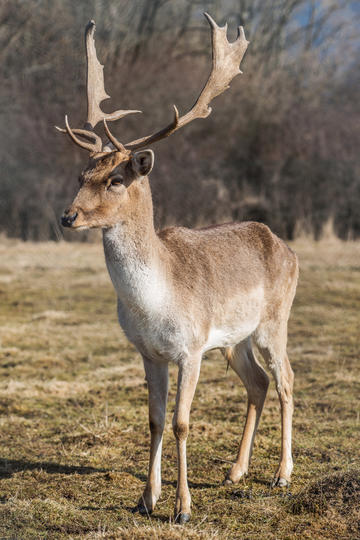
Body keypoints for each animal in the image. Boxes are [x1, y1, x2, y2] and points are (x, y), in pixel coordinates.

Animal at [56, 15, 298, 524]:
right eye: (81, 175)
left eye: (116, 178)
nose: (67, 217)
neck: (156, 302)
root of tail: (286, 247)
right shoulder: (149, 352)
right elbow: (153, 420)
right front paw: (146, 499)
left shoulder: (190, 348)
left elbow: (182, 422)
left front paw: (183, 507)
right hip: (233, 339)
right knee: (258, 382)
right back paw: (235, 472)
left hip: (274, 321)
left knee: (286, 379)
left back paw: (282, 475)